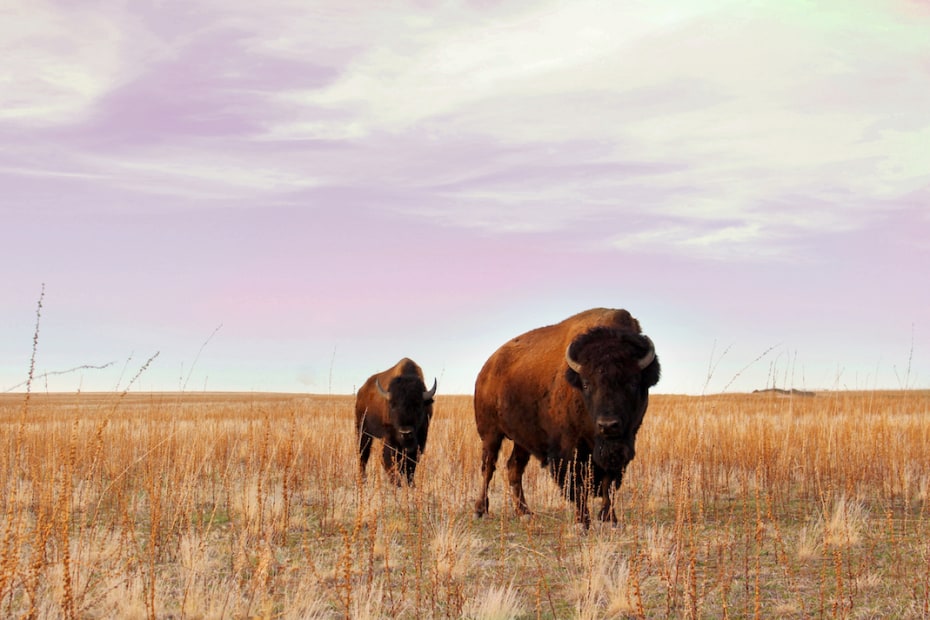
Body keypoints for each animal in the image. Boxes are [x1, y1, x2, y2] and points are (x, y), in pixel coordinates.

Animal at [472, 308, 660, 524]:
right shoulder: (570, 448)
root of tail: (486, 369)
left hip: (522, 440)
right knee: (488, 468)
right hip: (490, 433)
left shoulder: (622, 445)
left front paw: (610, 520)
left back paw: (525, 513)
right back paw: (480, 510)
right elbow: (577, 485)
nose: (608, 425)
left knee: (514, 468)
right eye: (586, 384)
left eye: (633, 382)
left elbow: (610, 483)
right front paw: (582, 522)